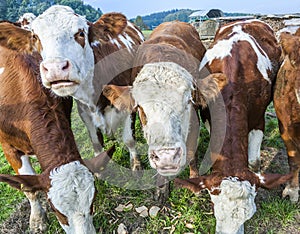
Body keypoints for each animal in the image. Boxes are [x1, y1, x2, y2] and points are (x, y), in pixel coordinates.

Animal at [0, 4, 144, 171]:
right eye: (35, 37)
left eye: (81, 33)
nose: (55, 68)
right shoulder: (85, 113)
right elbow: (97, 143)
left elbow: (129, 139)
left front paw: (136, 166)